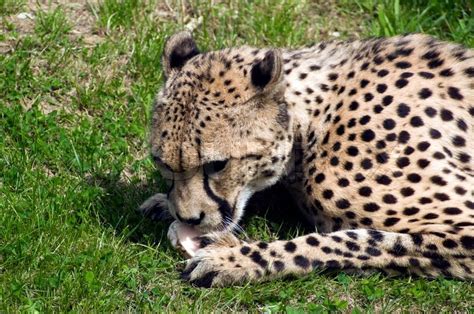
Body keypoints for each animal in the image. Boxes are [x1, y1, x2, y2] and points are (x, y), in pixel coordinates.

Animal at [140, 31, 474, 288]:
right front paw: (163, 202)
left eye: (217, 165)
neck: (313, 118)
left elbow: (354, 240)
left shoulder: (464, 223)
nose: (188, 219)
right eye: (162, 162)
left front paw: (235, 259)